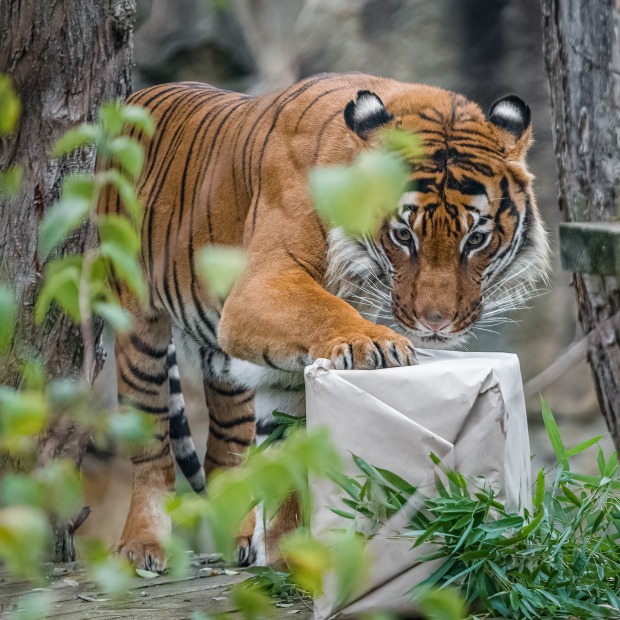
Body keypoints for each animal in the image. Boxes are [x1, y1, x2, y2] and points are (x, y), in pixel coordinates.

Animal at [99, 71, 548, 572]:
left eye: (476, 239)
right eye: (402, 235)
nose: (436, 323)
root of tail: (136, 96)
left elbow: (289, 459)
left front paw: (289, 557)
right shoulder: (261, 284)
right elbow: (326, 310)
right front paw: (375, 344)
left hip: (228, 368)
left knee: (229, 448)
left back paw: (241, 537)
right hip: (137, 327)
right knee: (151, 442)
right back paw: (141, 545)